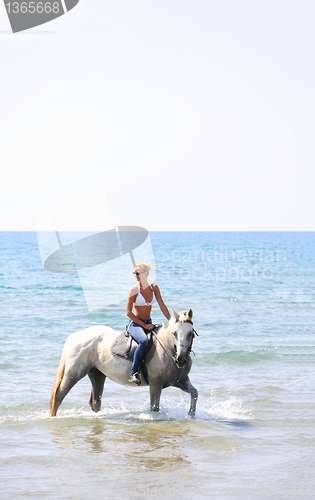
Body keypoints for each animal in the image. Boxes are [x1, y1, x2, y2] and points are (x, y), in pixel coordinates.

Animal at [50, 308, 199, 418]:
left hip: (97, 374)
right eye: (174, 333)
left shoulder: (179, 381)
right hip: (73, 373)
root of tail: (76, 336)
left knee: (95, 401)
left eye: (190, 333)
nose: (181, 359)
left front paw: (191, 415)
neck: (167, 348)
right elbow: (155, 408)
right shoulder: (156, 384)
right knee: (58, 396)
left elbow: (194, 393)